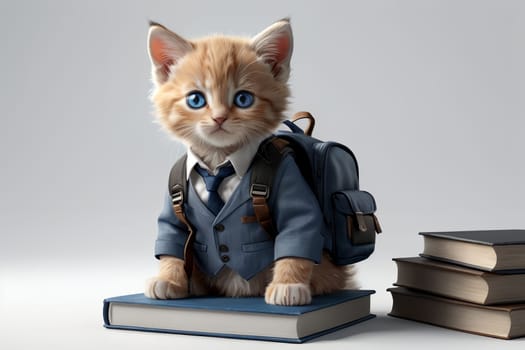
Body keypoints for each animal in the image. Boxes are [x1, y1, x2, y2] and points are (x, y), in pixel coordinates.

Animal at [143, 19, 356, 304]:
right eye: (196, 99)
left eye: (243, 99)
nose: (219, 118)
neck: (219, 163)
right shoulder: (174, 195)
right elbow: (172, 238)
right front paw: (169, 279)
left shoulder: (288, 178)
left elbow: (298, 227)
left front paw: (288, 285)